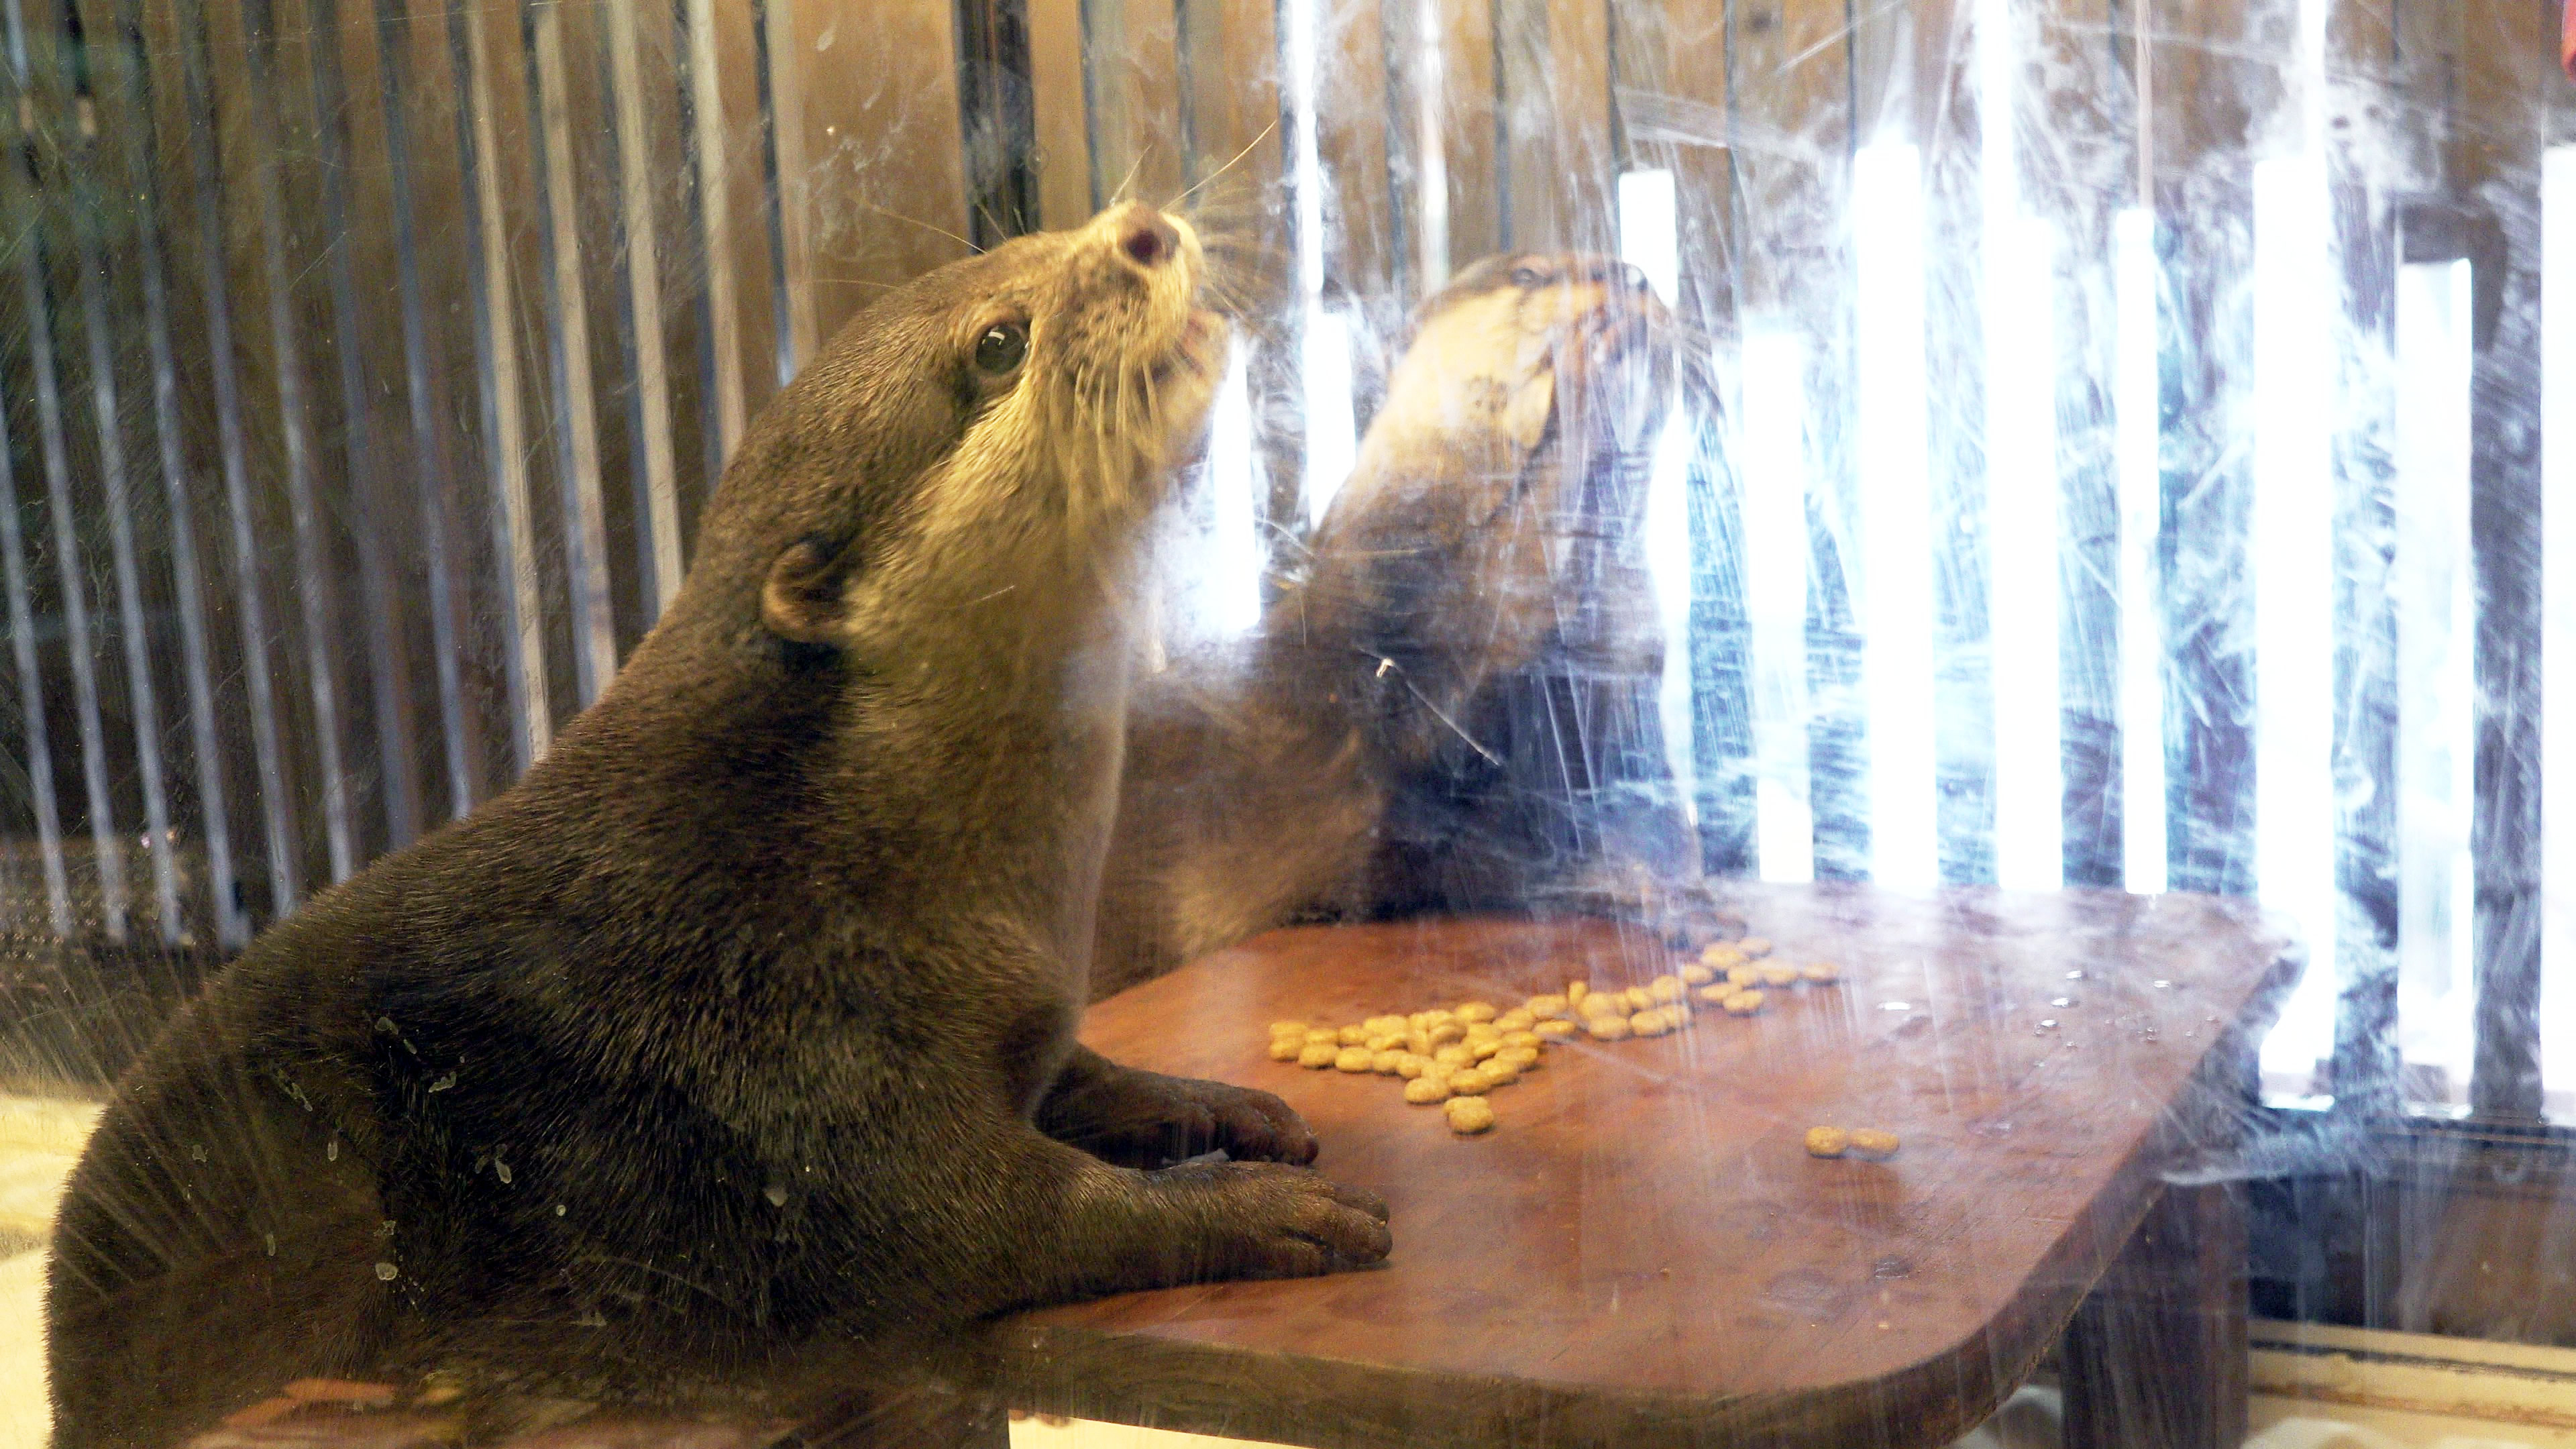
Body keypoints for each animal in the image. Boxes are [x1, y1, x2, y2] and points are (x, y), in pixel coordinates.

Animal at [45, 203, 1391, 1444]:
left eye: (1027, 242)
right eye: (999, 342)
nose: (1142, 230)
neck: (842, 854)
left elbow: (1075, 1070)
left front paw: (1213, 1106)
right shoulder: (787, 1079)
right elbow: (988, 1220)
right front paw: (1243, 1210)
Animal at [1097, 251, 1721, 989]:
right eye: (1531, 274)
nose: (1634, 281)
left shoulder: (1622, 691)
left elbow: (1636, 817)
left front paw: (1663, 897)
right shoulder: (1383, 667)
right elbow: (1438, 769)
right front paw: (1582, 377)